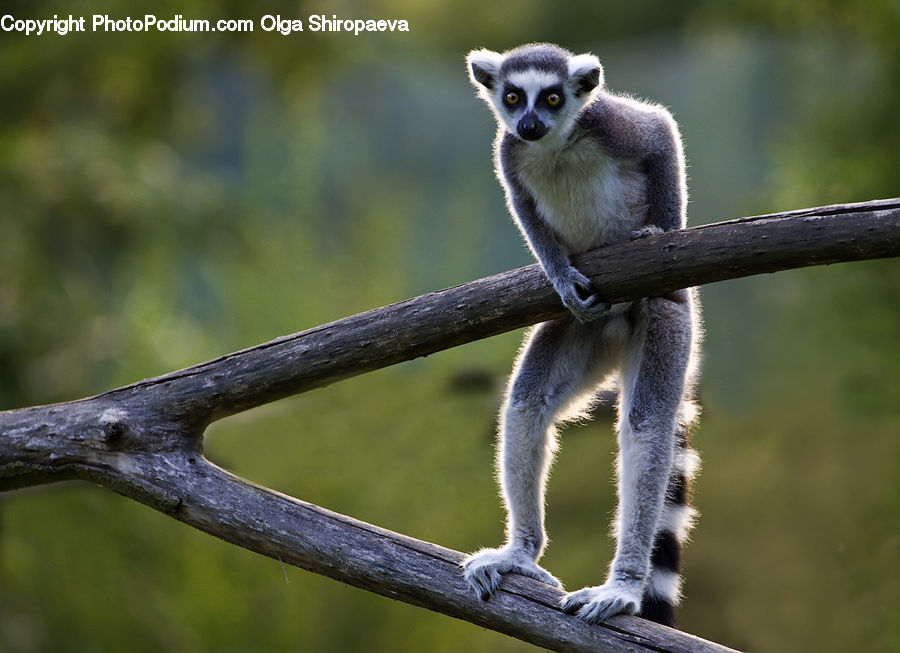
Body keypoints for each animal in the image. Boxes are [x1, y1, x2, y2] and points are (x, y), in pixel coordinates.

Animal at [461, 43, 702, 626]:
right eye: (512, 97)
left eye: (551, 98)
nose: (528, 124)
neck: (555, 146)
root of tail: (616, 327)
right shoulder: (509, 154)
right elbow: (524, 208)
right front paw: (558, 273)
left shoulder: (611, 124)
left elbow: (660, 131)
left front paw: (664, 230)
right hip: (582, 332)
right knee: (526, 404)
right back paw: (521, 553)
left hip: (661, 329)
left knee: (646, 429)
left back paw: (625, 585)